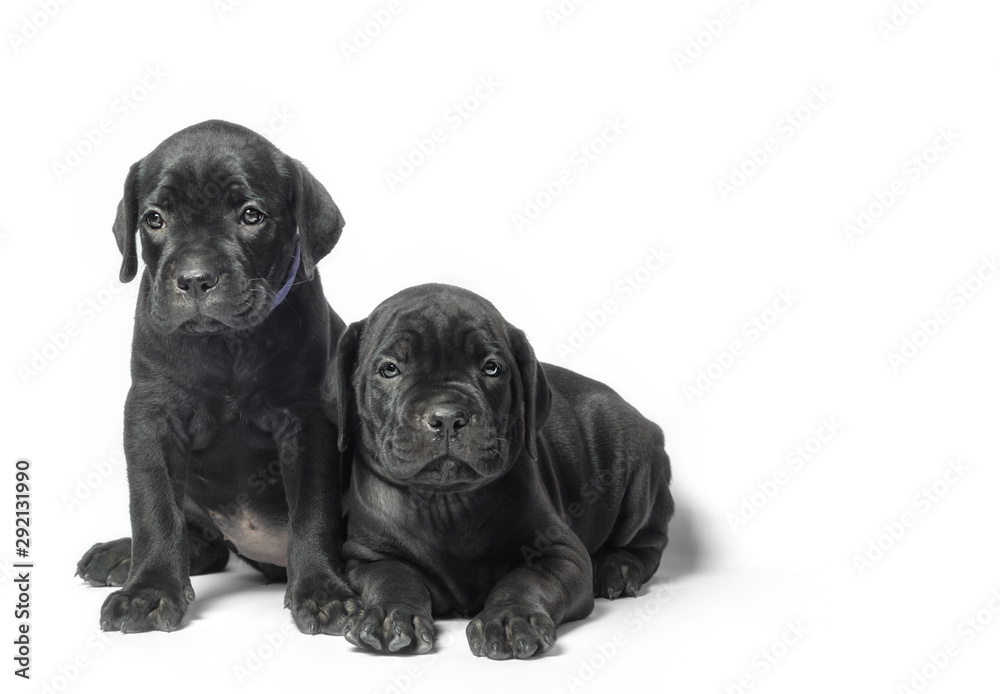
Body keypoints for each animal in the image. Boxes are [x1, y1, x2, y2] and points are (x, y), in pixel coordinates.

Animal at [77, 121, 360, 636]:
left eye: (251, 215)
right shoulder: (151, 417)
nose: (194, 278)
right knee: (200, 541)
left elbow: (314, 510)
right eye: (154, 219)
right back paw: (120, 556)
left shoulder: (307, 422)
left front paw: (322, 592)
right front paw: (149, 589)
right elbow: (153, 506)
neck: (226, 344)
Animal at [324, 286, 676, 660]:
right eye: (389, 369)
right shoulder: (367, 556)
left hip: (635, 470)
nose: (447, 416)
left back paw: (617, 568)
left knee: (648, 539)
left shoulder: (560, 552)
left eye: (492, 368)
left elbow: (525, 580)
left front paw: (509, 618)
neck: (446, 502)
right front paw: (391, 614)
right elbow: (392, 576)